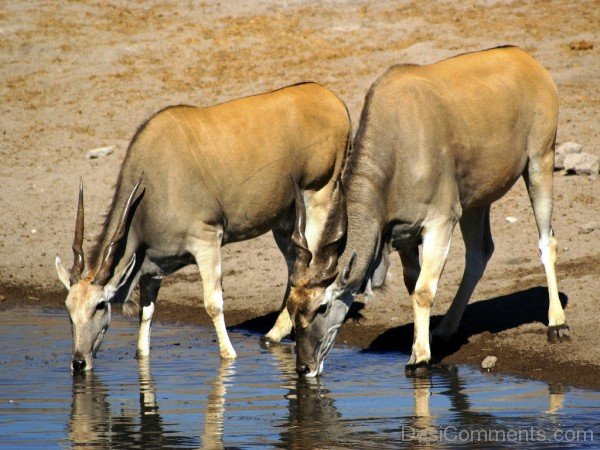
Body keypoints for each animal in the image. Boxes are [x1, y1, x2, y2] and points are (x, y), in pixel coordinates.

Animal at [55, 83, 352, 372]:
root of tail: (333, 101)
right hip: (286, 217)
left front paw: (229, 355)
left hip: (317, 195)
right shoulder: (152, 265)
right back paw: (274, 334)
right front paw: (142, 355)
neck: (153, 180)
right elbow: (147, 312)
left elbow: (213, 304)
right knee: (294, 264)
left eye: (100, 305)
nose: (78, 362)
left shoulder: (207, 241)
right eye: (68, 309)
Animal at [286, 46, 568, 376]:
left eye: (323, 306)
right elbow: (413, 286)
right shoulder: (404, 236)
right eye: (292, 307)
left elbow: (423, 291)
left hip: (540, 162)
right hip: (476, 202)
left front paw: (419, 357)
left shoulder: (440, 223)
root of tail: (527, 59)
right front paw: (423, 344)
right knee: (479, 254)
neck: (398, 143)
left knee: (546, 241)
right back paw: (445, 330)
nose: (304, 368)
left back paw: (557, 323)